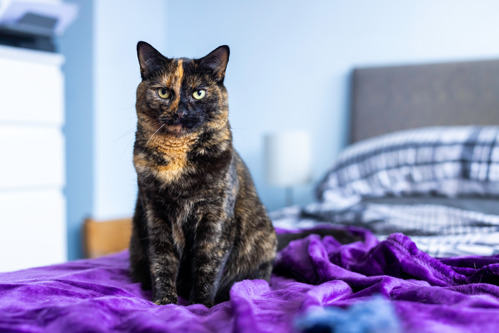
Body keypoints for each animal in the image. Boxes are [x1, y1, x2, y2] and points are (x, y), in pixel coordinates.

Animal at [129, 41, 278, 306]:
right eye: (163, 93)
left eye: (199, 93)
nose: (180, 112)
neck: (177, 159)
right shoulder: (155, 214)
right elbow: (161, 261)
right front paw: (165, 302)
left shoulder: (215, 217)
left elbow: (207, 264)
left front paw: (200, 305)